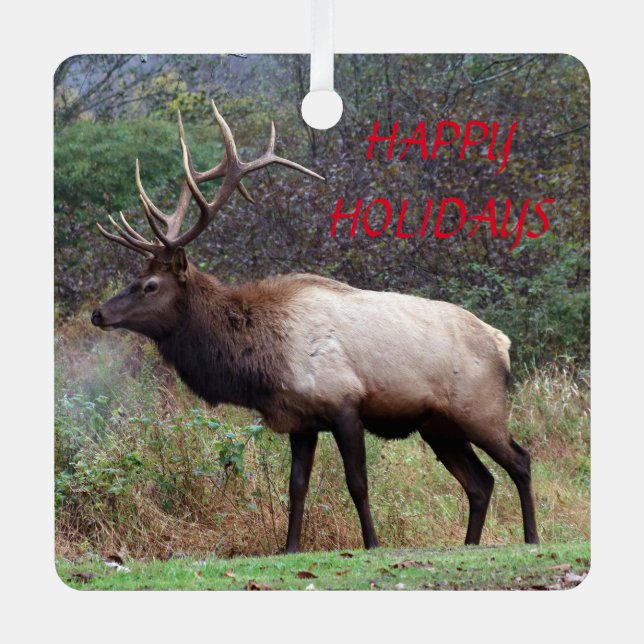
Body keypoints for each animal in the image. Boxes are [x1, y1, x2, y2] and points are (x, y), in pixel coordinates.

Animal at [91, 100, 538, 552]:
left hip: (479, 408)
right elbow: (297, 486)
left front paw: (372, 544)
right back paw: (469, 544)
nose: (99, 313)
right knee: (480, 482)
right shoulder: (301, 421)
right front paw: (289, 547)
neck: (261, 363)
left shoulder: (344, 403)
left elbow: (357, 483)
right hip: (439, 426)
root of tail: (502, 343)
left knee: (520, 460)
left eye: (150, 285)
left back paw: (532, 537)